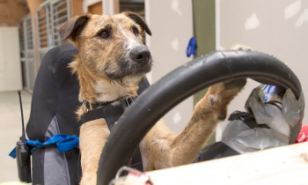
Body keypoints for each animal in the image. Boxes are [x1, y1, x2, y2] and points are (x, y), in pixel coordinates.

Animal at [59, 11, 247, 185]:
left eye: (135, 30)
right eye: (104, 33)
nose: (143, 53)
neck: (117, 101)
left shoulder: (169, 154)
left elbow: (200, 113)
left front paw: (223, 81)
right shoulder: (94, 169)